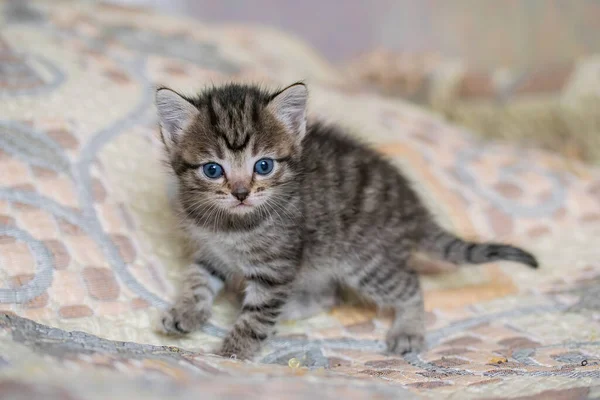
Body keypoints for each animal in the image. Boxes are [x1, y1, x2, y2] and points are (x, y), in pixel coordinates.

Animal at [156, 81, 540, 360]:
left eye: (263, 165)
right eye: (213, 170)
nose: (240, 193)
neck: (231, 224)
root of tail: (413, 207)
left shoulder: (276, 268)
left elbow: (256, 316)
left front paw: (233, 353)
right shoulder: (212, 251)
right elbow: (197, 278)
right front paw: (186, 311)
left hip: (366, 262)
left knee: (410, 285)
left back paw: (409, 330)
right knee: (328, 295)